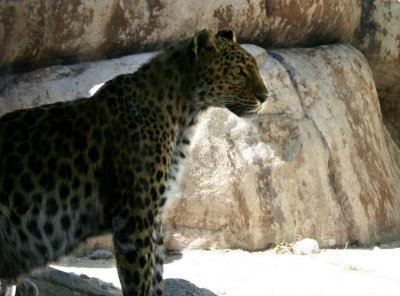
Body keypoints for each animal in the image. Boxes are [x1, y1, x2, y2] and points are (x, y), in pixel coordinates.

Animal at [0, 28, 268, 296]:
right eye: (238, 71)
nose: (265, 96)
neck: (185, 114)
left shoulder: (154, 220)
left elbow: (155, 279)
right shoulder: (134, 219)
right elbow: (139, 281)